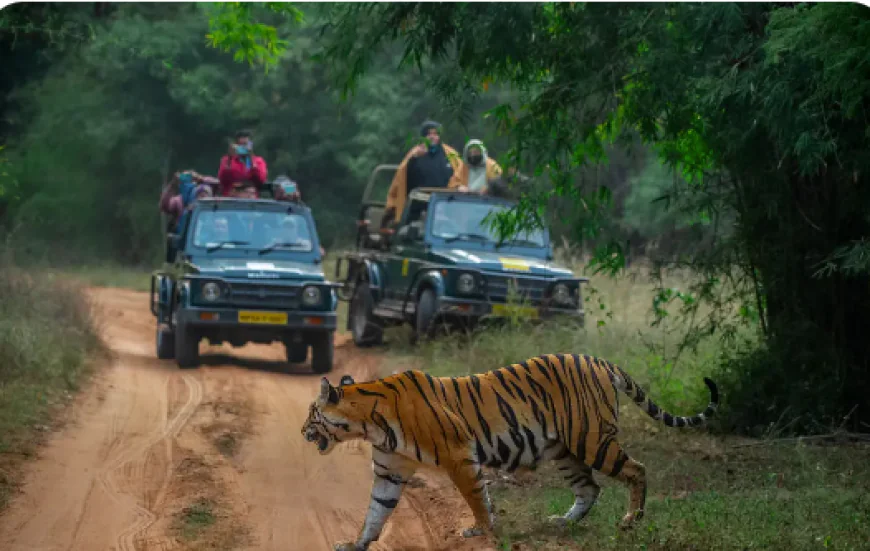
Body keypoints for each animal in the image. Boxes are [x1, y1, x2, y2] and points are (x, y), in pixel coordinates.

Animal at [302, 353, 719, 551]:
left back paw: (632, 519)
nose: (303, 431)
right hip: (564, 451)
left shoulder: (458, 456)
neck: (369, 423)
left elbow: (475, 497)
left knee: (637, 469)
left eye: (311, 413)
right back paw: (563, 522)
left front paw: (481, 530)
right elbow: (376, 512)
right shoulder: (390, 471)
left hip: (592, 440)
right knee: (590, 489)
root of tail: (599, 360)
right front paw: (354, 544)